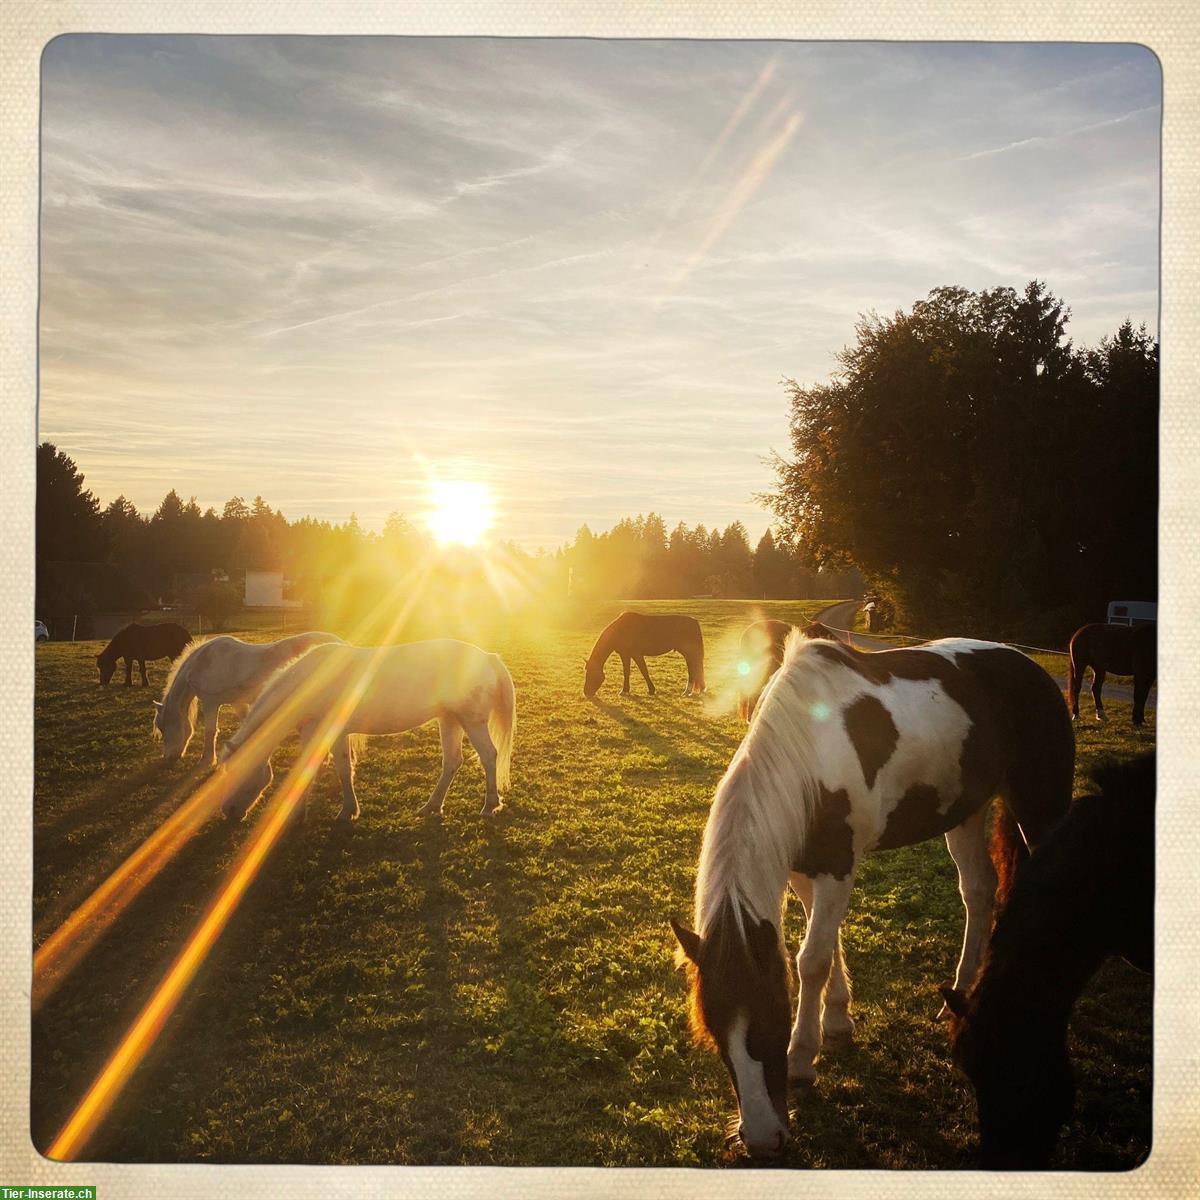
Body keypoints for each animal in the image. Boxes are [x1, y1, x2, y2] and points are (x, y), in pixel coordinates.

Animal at [152, 628, 343, 768]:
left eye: (162, 727)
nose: (168, 758)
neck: (204, 661)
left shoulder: (210, 703)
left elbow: (210, 731)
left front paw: (207, 760)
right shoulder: (238, 703)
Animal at [217, 638, 516, 825]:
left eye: (234, 775)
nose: (228, 812)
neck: (311, 682)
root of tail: (487, 658)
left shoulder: (317, 731)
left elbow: (313, 770)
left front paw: (306, 815)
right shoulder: (335, 734)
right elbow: (342, 767)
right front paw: (347, 810)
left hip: (471, 721)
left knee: (488, 756)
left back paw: (489, 806)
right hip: (450, 720)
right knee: (452, 762)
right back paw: (431, 807)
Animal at [672, 633, 1075, 1156]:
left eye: (773, 1017)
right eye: (716, 1034)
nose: (761, 1140)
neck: (811, 746)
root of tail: (1033, 669)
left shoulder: (838, 868)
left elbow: (812, 960)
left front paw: (802, 1057)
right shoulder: (806, 870)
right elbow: (826, 946)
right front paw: (838, 1021)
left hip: (1040, 806)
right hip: (966, 813)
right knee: (978, 891)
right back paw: (961, 992)